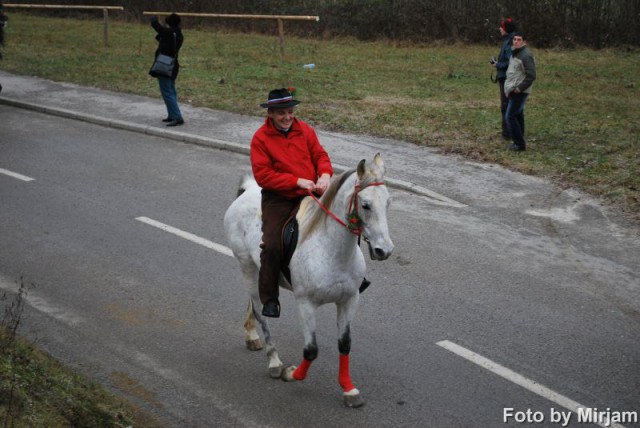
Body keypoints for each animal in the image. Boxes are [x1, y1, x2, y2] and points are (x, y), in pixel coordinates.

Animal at [225, 154, 396, 408]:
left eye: (387, 203)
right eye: (365, 205)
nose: (384, 250)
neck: (331, 250)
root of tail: (248, 189)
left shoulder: (349, 301)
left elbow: (344, 344)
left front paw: (349, 390)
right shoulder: (305, 304)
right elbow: (311, 350)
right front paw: (291, 373)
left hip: (256, 271)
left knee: (254, 302)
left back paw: (252, 336)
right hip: (246, 266)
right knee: (259, 309)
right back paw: (274, 361)